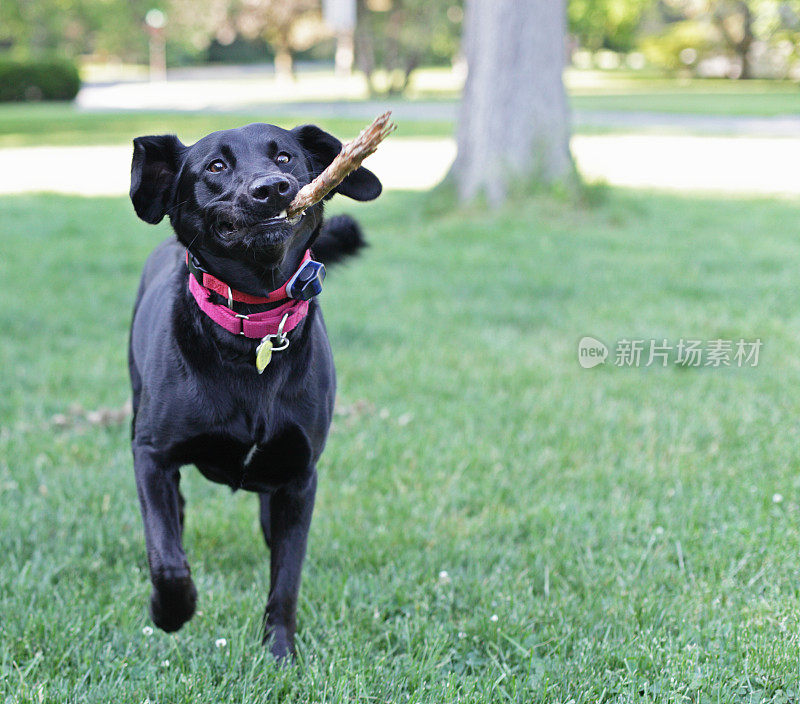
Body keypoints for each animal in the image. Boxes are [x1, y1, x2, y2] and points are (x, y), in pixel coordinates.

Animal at [127, 124, 382, 656]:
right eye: (216, 167)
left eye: (284, 157)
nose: (273, 189)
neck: (253, 330)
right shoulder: (151, 454)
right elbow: (166, 555)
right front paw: (171, 612)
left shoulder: (300, 479)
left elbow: (286, 576)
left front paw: (280, 651)